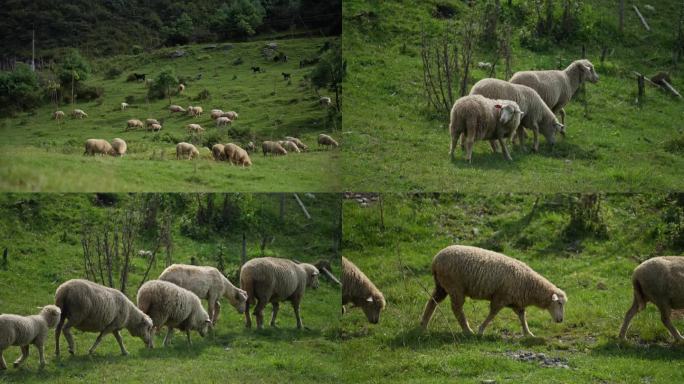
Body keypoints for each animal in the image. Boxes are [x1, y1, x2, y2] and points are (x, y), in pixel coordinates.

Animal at [422, 246, 568, 336]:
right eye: (559, 303)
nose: (561, 320)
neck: (529, 284)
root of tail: (435, 260)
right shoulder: (500, 297)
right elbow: (492, 314)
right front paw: (481, 330)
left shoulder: (516, 302)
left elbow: (522, 317)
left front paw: (528, 333)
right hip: (455, 286)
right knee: (457, 309)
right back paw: (468, 330)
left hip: (441, 286)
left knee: (432, 302)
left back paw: (423, 325)